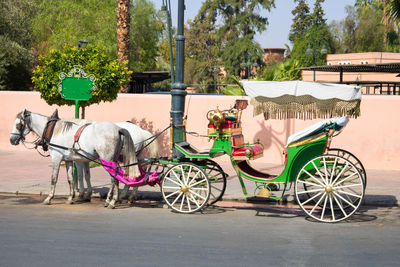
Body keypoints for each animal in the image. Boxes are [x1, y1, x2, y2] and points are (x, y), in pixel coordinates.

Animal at [9, 108, 141, 207]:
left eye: (19, 125)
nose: (12, 140)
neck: (53, 131)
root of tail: (118, 129)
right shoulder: (68, 160)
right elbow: (70, 179)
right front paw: (70, 198)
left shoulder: (56, 159)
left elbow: (53, 179)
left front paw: (49, 198)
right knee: (117, 177)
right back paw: (112, 199)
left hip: (107, 159)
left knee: (114, 178)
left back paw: (112, 201)